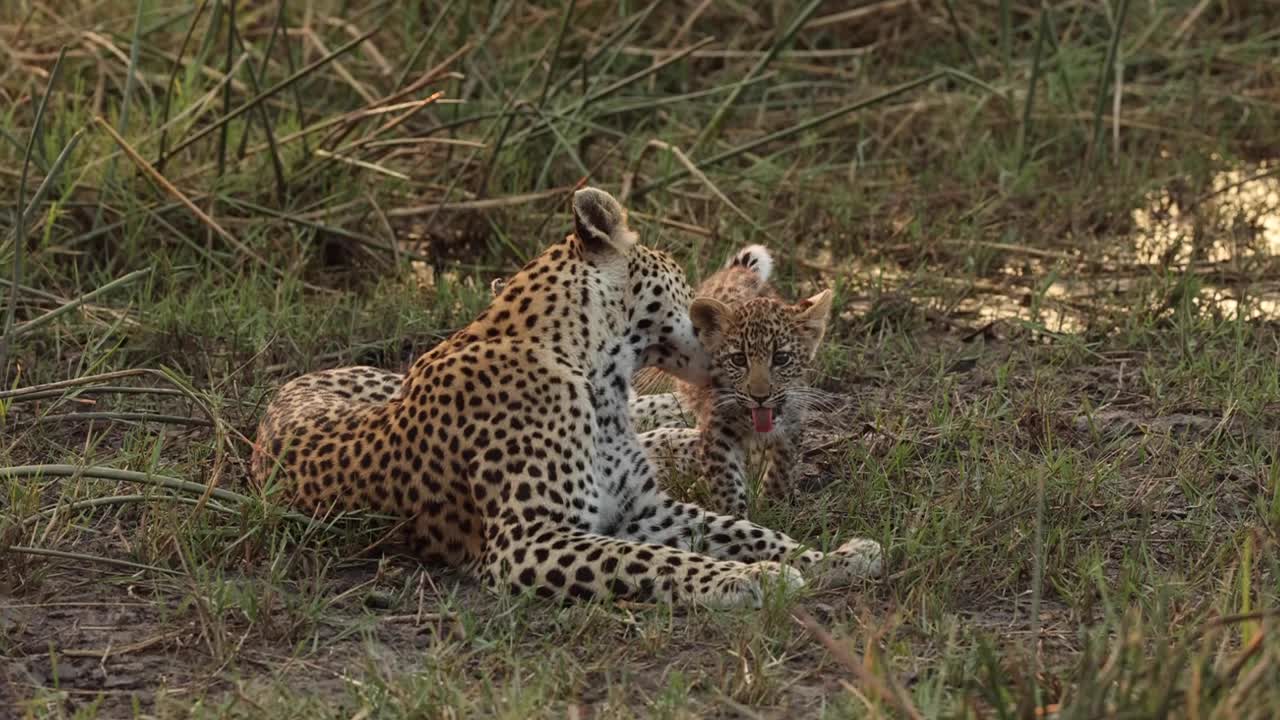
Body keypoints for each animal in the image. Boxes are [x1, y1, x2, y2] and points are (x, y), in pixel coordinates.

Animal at [628, 245, 834, 518]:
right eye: (738, 360)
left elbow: (781, 468)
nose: (760, 397)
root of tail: (739, 271)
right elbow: (726, 483)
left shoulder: (792, 421)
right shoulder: (718, 430)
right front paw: (736, 515)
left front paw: (773, 505)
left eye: (781, 358)